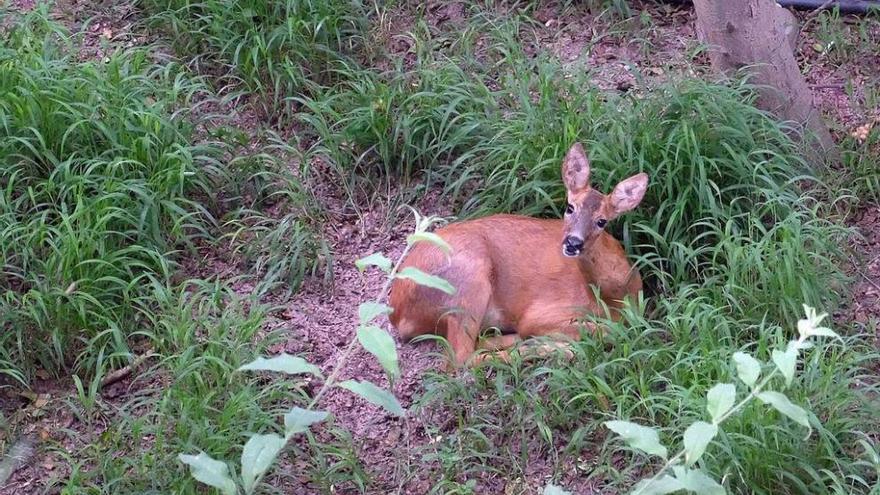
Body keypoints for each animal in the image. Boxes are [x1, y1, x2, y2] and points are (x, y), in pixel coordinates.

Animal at [388, 141, 648, 366]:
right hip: (468, 280)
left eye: (602, 221)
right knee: (461, 358)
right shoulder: (541, 312)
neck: (614, 297)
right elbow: (603, 330)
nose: (573, 242)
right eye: (570, 207)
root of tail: (397, 313)